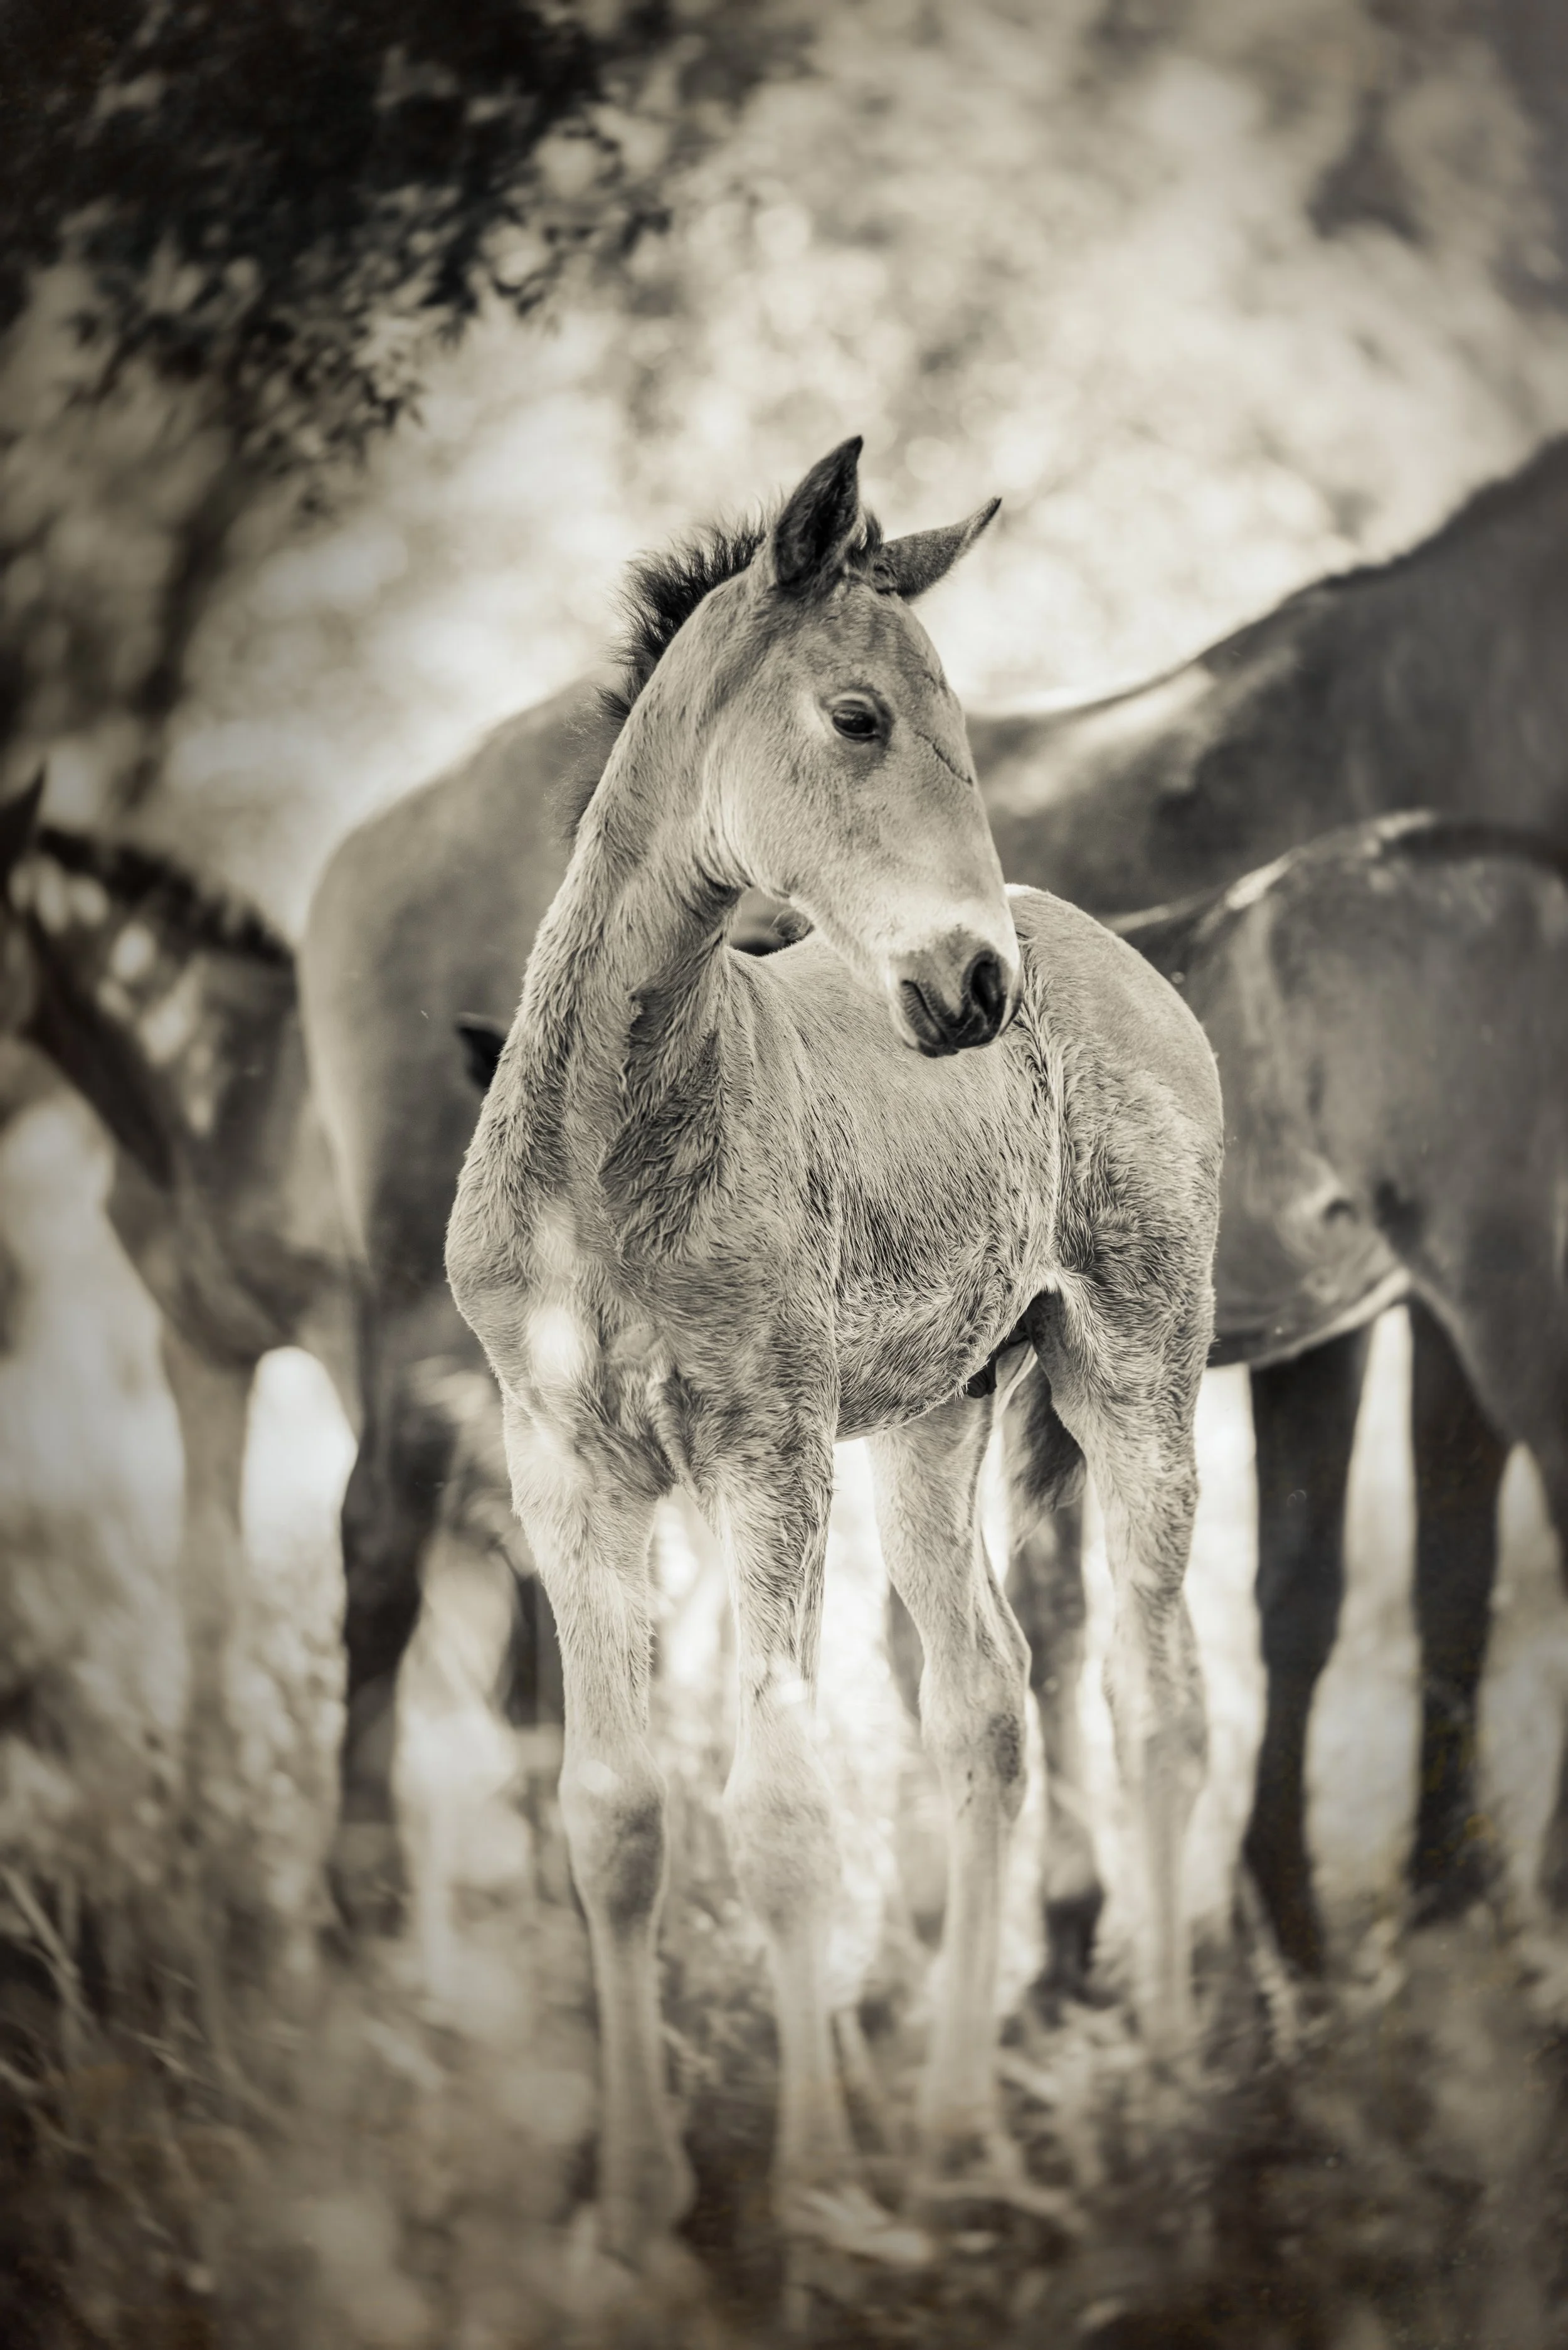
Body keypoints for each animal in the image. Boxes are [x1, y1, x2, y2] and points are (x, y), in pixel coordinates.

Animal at [301, 430, 1568, 1963]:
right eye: (858, 719)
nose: (978, 983)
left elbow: (1386, 1583)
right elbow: (1324, 1591)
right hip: (419, 1318)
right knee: (385, 1535)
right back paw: (364, 1899)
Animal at [443, 440, 1223, 2264]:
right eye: (859, 718)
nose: (973, 987)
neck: (611, 1149)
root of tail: (1113, 954)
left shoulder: (767, 1451)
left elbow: (782, 1812)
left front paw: (808, 2179)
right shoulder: (563, 1464)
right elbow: (616, 1813)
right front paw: (637, 2199)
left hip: (1136, 1374)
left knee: (1156, 1696)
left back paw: (1165, 2069)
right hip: (940, 1418)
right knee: (988, 1711)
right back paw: (948, 2121)